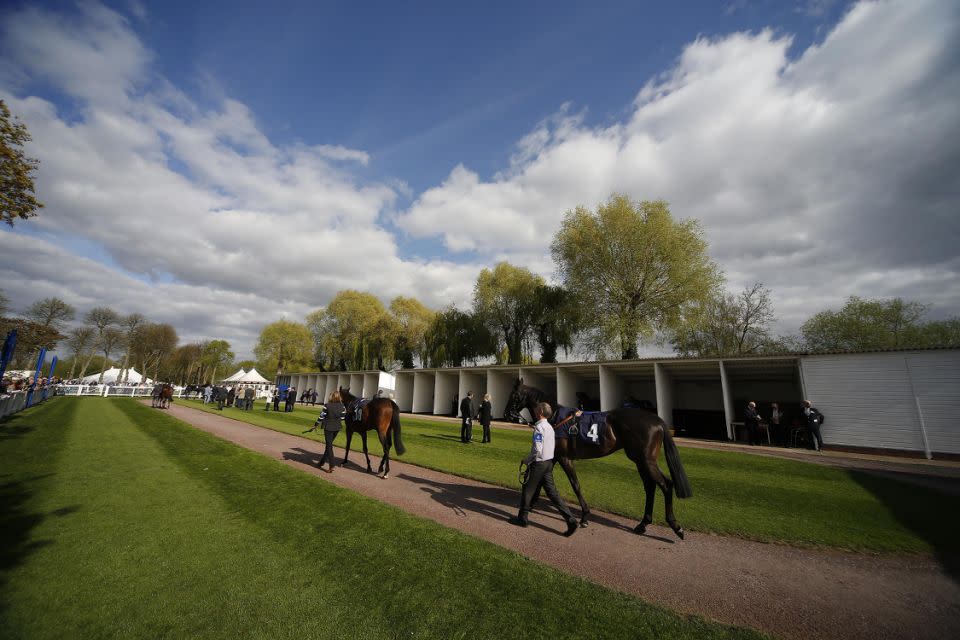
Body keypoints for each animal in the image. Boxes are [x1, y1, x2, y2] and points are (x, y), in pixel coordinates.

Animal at [502, 378, 688, 536]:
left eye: (514, 395)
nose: (506, 415)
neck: (553, 417)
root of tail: (657, 421)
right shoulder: (553, 457)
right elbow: (540, 480)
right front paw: (531, 504)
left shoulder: (564, 457)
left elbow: (575, 485)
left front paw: (584, 517)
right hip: (640, 461)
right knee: (650, 487)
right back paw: (643, 524)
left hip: (645, 460)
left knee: (665, 484)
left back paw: (675, 526)